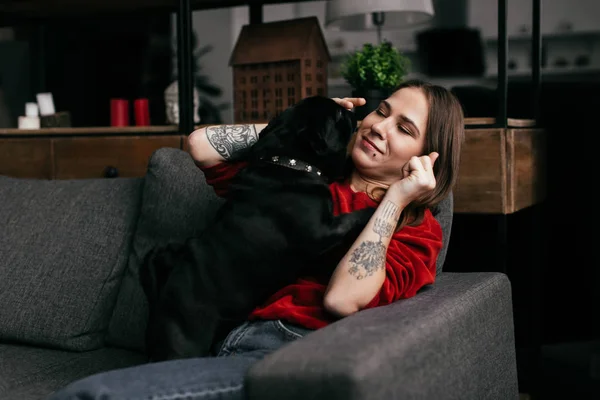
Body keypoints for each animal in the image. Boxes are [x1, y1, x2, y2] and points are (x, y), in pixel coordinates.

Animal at [141, 96, 376, 362]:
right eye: (337, 115)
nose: (351, 111)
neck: (288, 163)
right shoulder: (322, 231)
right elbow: (352, 217)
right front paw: (375, 206)